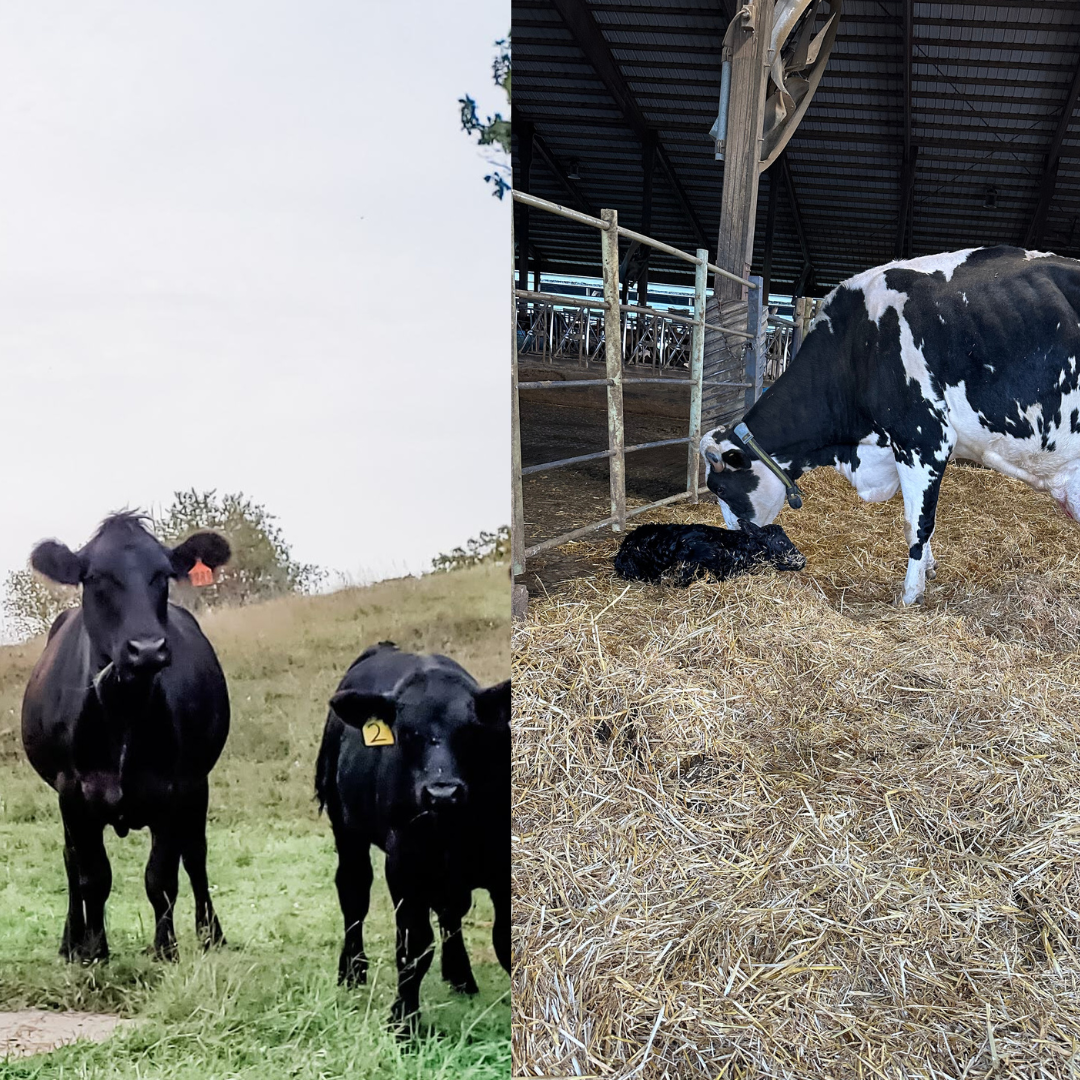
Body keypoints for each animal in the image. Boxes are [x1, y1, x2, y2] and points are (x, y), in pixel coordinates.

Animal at [21, 512, 232, 962]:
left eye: (163, 574)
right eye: (96, 577)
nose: (147, 649)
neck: (124, 710)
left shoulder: (176, 786)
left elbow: (162, 877)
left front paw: (166, 949)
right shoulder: (73, 791)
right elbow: (93, 876)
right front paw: (95, 949)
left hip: (198, 786)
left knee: (196, 855)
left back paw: (212, 935)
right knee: (71, 859)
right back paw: (70, 941)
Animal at [315, 642, 510, 1032]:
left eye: (472, 731)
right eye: (405, 733)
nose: (442, 793)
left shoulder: (499, 864)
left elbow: (503, 938)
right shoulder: (404, 865)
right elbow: (414, 945)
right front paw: (404, 1022)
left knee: (451, 912)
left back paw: (461, 977)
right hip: (347, 830)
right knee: (353, 892)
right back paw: (352, 970)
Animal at [700, 246, 1080, 604]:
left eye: (720, 489)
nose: (733, 542)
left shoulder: (923, 438)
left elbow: (917, 524)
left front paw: (911, 594)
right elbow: (919, 518)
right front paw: (928, 568)